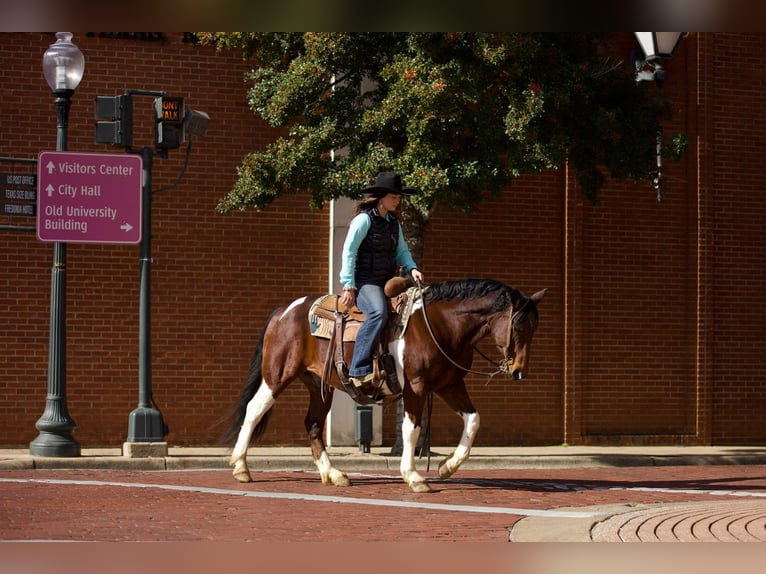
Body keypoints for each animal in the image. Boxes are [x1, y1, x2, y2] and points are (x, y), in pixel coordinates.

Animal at [225, 280, 548, 496]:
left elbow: (473, 420)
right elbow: (412, 429)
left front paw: (447, 466)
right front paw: (414, 476)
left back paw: (333, 474)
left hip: (319, 384)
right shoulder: (416, 387)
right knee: (254, 410)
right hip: (278, 375)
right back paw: (241, 468)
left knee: (313, 424)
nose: (519, 371)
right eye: (519, 326)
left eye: (535, 328)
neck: (441, 325)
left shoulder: (449, 385)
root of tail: (284, 310)